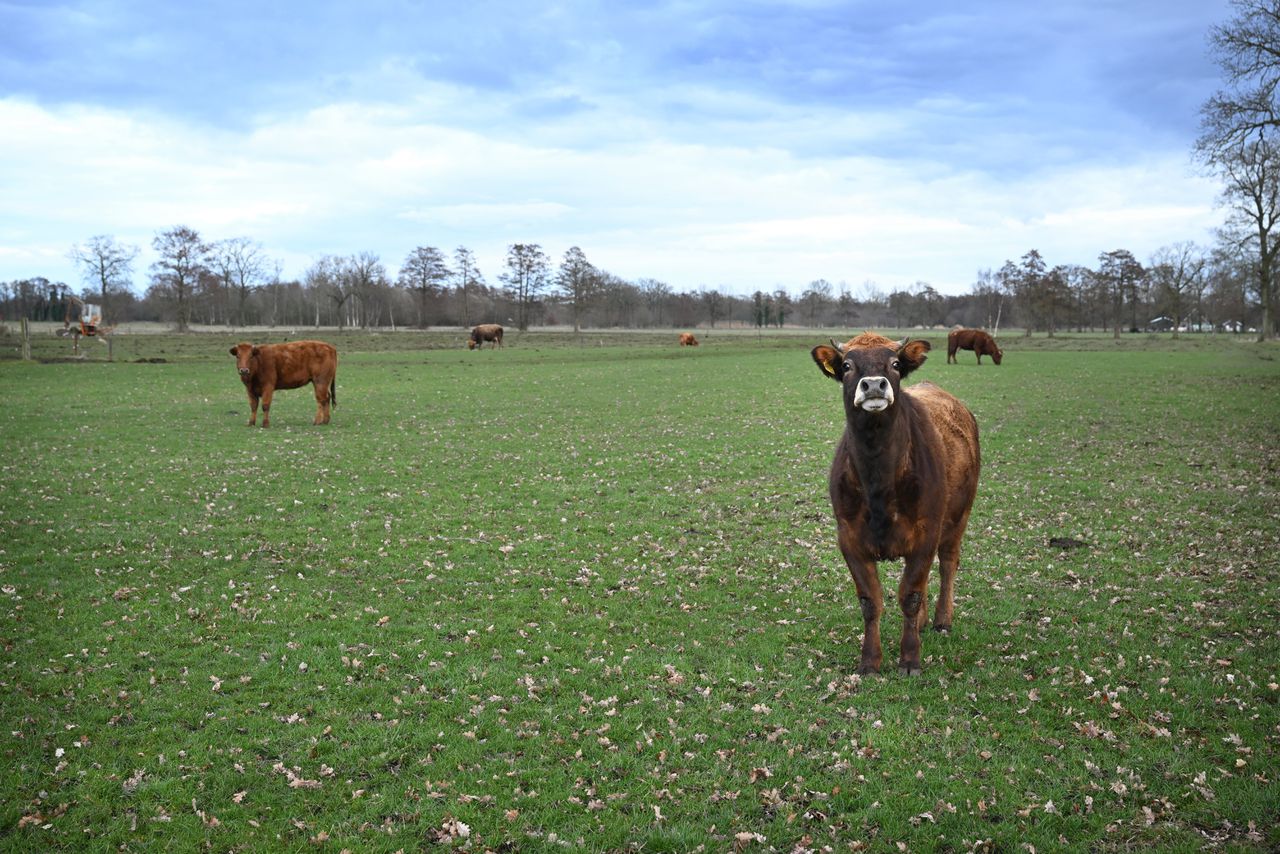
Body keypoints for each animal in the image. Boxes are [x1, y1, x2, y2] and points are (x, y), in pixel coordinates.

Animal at [808, 332, 977, 676]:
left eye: (896, 363)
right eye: (847, 365)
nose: (874, 385)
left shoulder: (926, 534)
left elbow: (910, 595)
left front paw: (910, 659)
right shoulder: (849, 539)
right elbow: (870, 601)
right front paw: (870, 661)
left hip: (959, 516)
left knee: (948, 564)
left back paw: (941, 620)